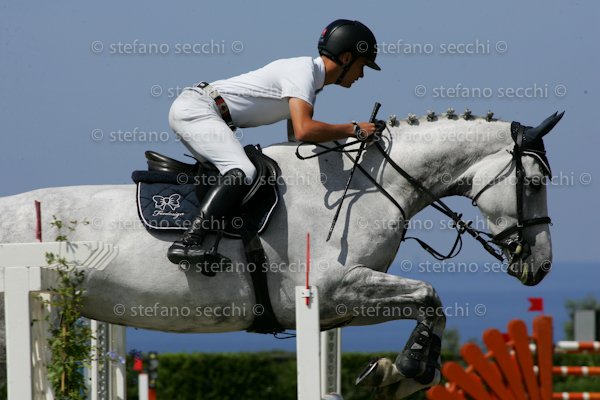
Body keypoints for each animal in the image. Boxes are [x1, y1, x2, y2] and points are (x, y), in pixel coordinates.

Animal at [0, 110, 563, 399]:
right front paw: (407, 369)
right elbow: (430, 295)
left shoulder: (342, 302)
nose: (540, 266)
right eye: (534, 183)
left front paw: (394, 374)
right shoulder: (332, 287)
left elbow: (430, 305)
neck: (368, 185)